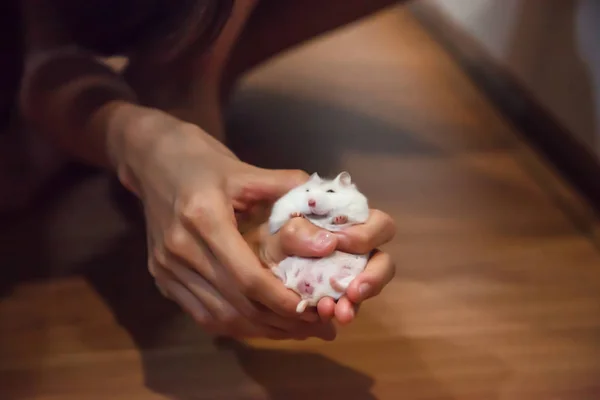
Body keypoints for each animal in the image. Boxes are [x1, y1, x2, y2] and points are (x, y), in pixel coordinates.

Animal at [268, 171, 370, 312]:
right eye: (307, 190)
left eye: (331, 191)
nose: (311, 202)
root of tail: (308, 296)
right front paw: (296, 214)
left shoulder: (358, 215)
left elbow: (347, 220)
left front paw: (340, 218)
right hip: (287, 263)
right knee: (284, 278)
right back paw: (272, 267)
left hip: (351, 276)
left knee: (343, 285)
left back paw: (334, 281)